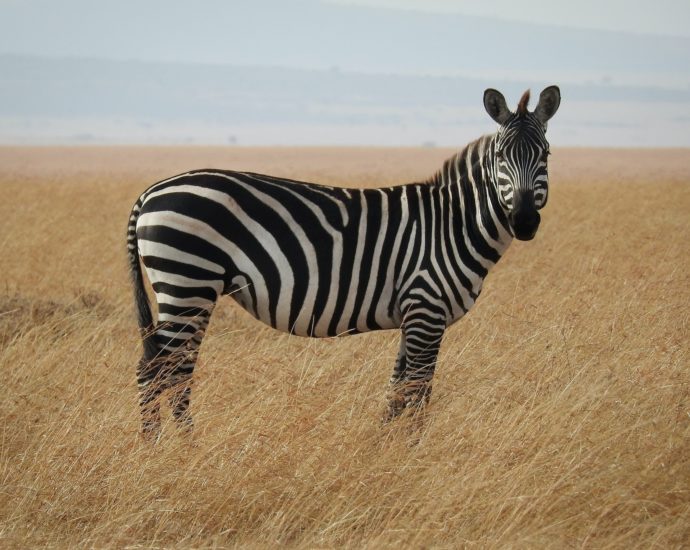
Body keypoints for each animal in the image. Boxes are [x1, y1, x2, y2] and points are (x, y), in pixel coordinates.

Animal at [127, 86, 561, 437]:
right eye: (501, 156)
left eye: (546, 155)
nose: (524, 221)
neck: (452, 224)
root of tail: (151, 191)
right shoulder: (426, 308)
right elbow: (418, 391)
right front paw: (414, 452)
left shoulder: (413, 315)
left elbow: (396, 391)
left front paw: (383, 449)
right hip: (188, 282)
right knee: (163, 371)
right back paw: (174, 449)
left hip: (189, 289)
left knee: (166, 369)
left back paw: (163, 446)